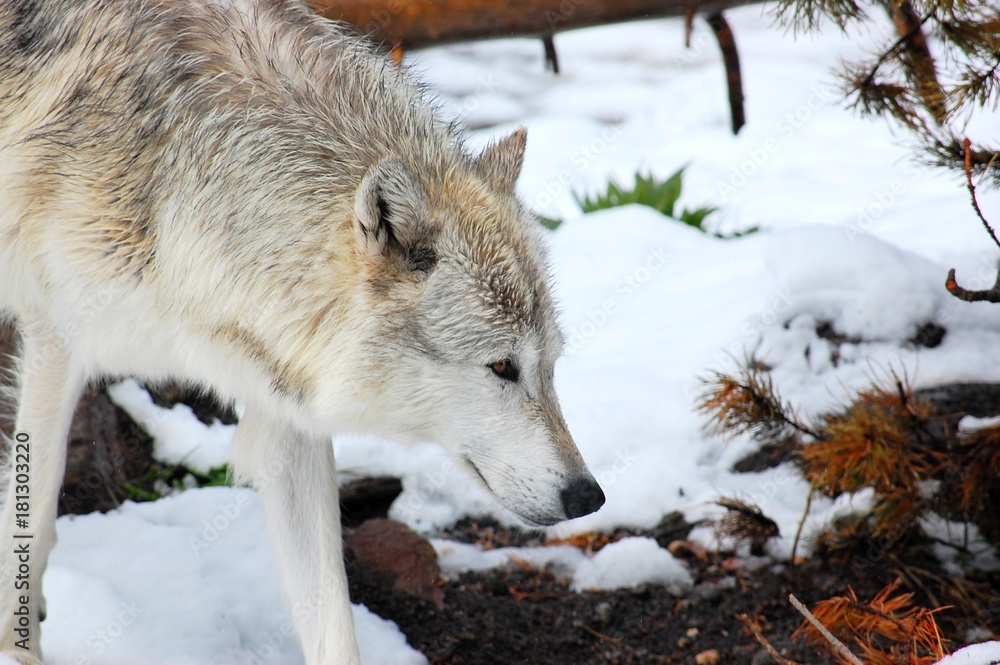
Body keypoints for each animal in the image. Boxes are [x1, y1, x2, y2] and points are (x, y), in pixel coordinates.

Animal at [0, 0, 605, 662]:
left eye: (550, 367)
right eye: (501, 367)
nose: (589, 496)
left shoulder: (286, 412)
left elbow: (331, 613)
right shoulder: (54, 341)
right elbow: (35, 515)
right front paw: (18, 648)